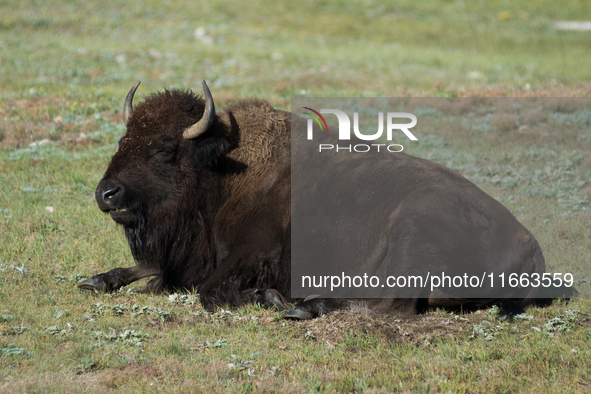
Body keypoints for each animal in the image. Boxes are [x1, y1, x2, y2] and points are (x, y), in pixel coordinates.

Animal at [78, 81, 552, 318]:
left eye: (165, 148)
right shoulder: (191, 254)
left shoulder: (252, 251)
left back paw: (300, 307)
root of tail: (532, 246)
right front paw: (95, 280)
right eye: (124, 139)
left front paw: (265, 297)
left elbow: (210, 291)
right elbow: (154, 269)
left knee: (390, 303)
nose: (106, 193)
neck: (223, 169)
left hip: (413, 230)